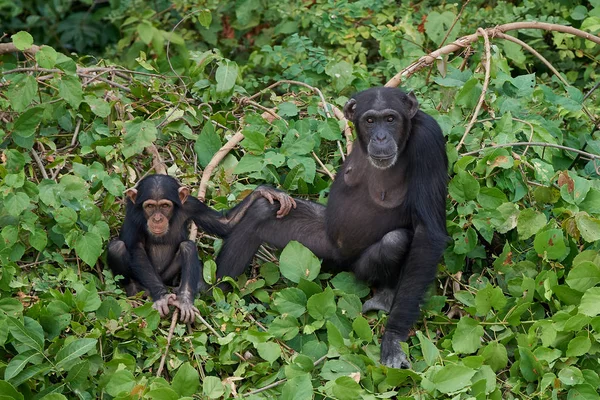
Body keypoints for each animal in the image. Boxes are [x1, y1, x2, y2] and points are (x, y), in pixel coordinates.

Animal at [109, 173, 296, 324]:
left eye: (164, 206)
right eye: (149, 206)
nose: (157, 218)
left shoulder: (191, 205)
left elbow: (224, 224)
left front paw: (265, 191)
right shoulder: (133, 213)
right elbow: (136, 249)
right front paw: (161, 297)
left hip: (168, 276)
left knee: (188, 246)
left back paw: (184, 300)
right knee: (117, 247)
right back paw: (134, 291)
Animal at [214, 87, 446, 368]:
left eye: (391, 119)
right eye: (370, 120)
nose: (380, 136)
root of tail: (341, 263)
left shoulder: (429, 141)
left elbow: (427, 233)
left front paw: (393, 338)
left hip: (357, 268)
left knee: (396, 241)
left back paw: (385, 296)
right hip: (322, 245)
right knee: (262, 211)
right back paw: (214, 300)